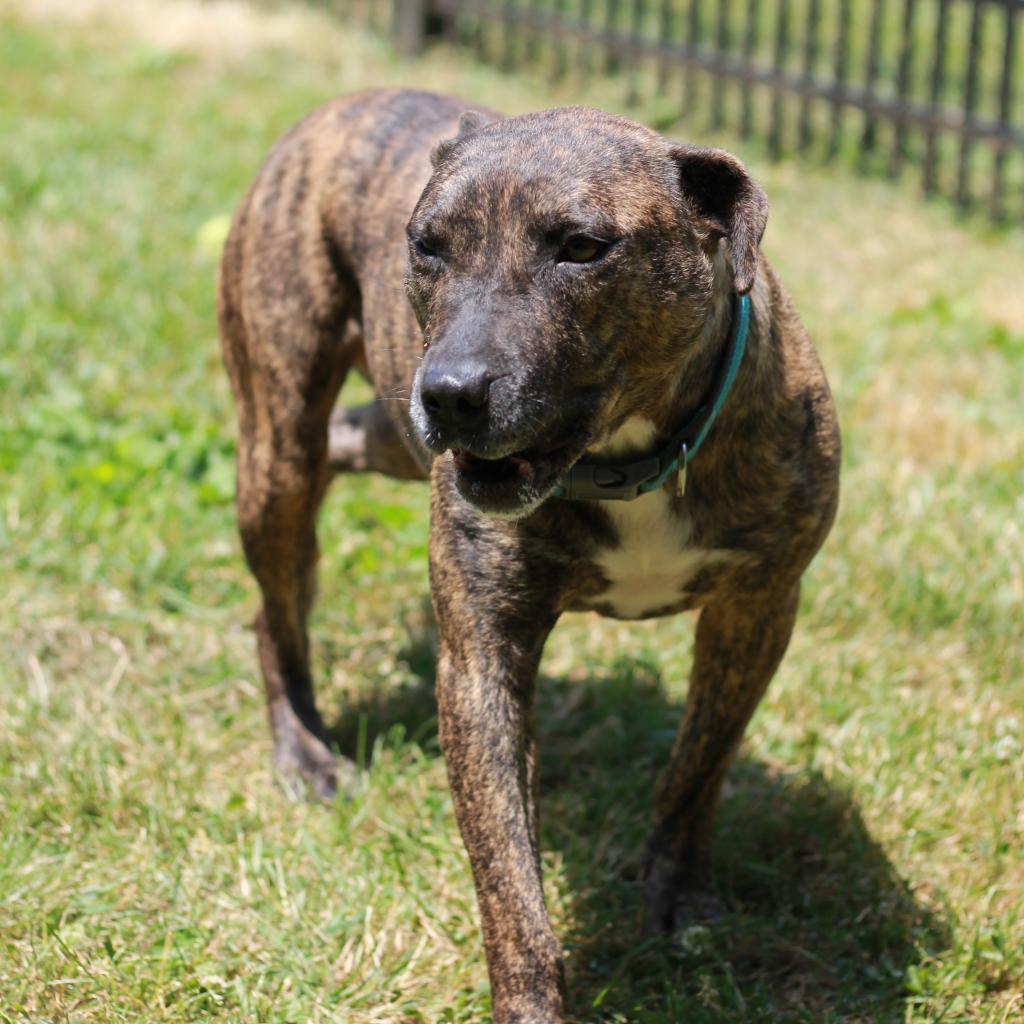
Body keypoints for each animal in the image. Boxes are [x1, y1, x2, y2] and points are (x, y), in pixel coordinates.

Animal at [218, 90, 839, 1024]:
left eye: (582, 247)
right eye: (427, 245)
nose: (449, 393)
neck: (629, 457)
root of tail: (342, 104)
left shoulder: (758, 609)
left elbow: (700, 762)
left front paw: (678, 890)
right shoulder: (483, 662)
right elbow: (511, 887)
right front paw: (532, 998)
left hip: (385, 430)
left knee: (347, 446)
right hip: (279, 447)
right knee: (276, 604)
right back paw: (306, 751)